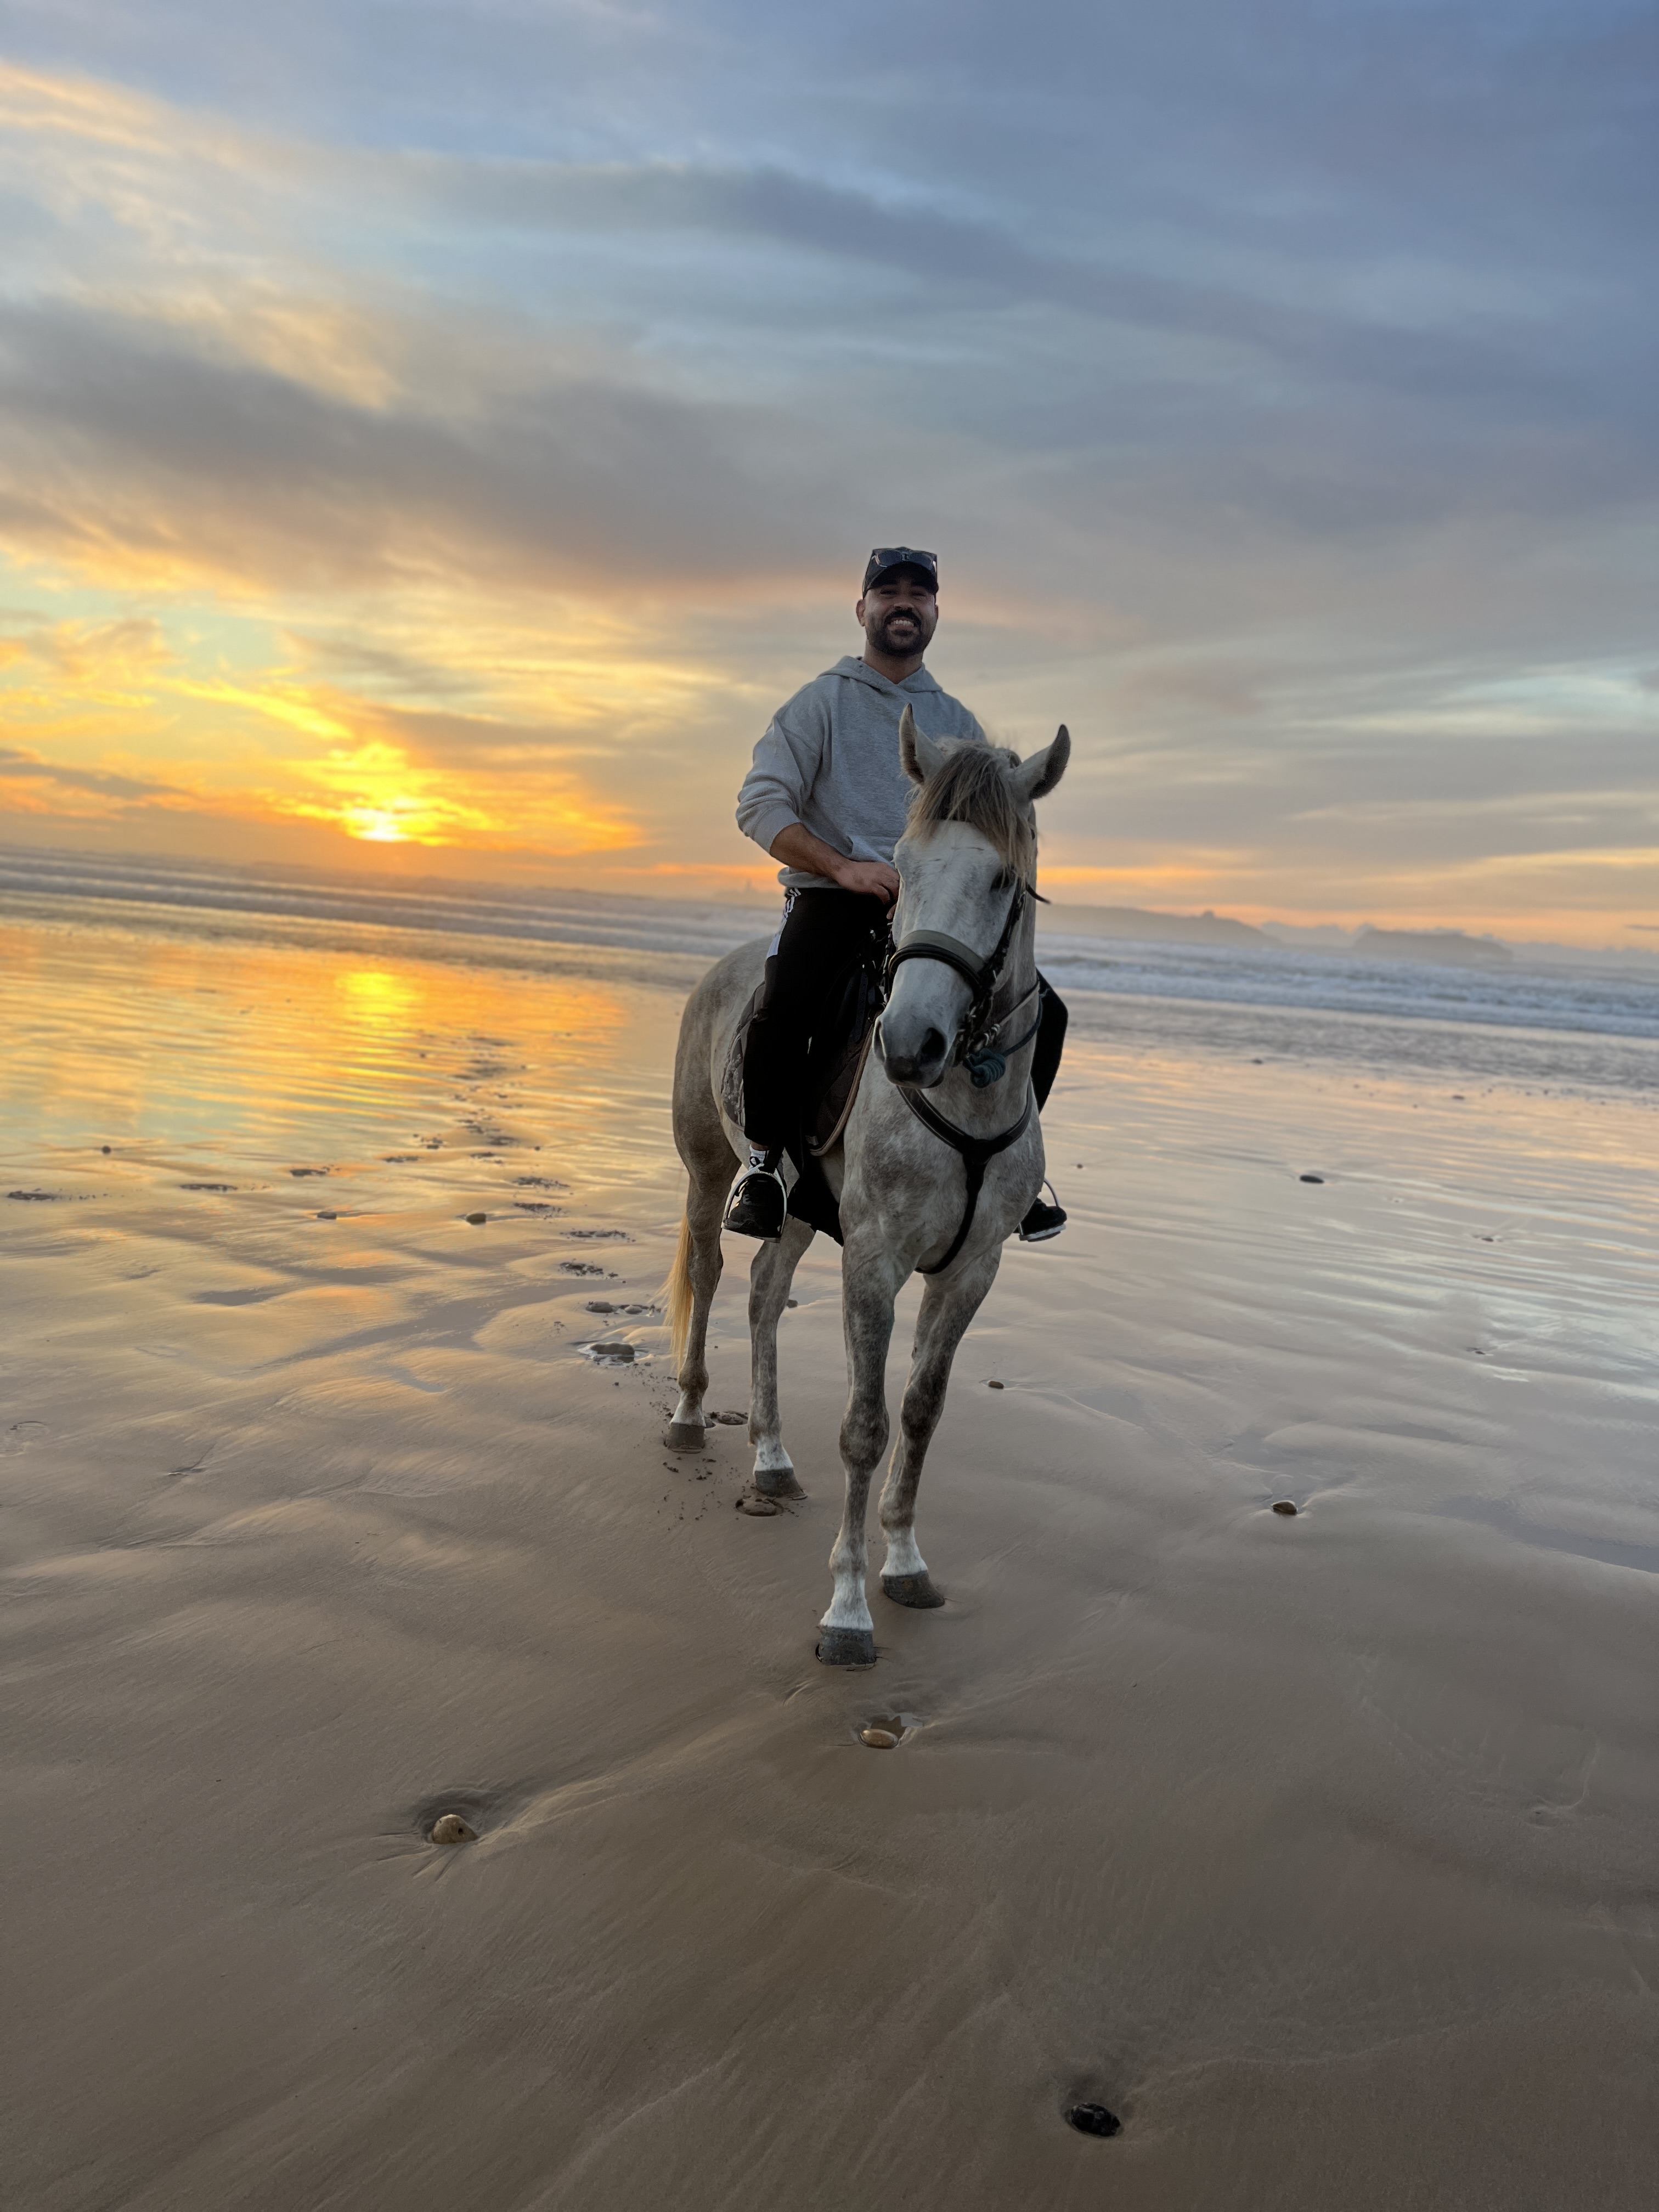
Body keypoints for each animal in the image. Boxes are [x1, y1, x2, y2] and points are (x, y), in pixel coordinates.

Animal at [663, 705, 1071, 1665]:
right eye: (903, 864)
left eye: (1004, 878)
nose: (909, 1044)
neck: (966, 1087)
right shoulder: (875, 1261)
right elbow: (864, 1425)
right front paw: (846, 1610)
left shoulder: (970, 1271)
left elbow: (920, 1413)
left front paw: (905, 1563)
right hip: (706, 1168)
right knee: (708, 1274)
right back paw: (690, 1414)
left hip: (798, 1210)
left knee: (763, 1296)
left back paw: (771, 1460)